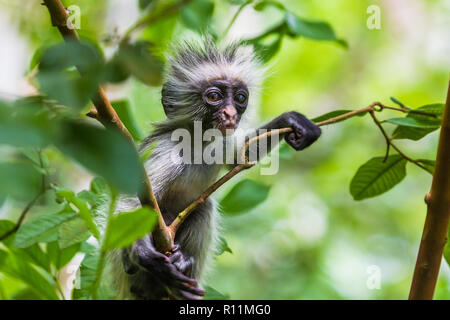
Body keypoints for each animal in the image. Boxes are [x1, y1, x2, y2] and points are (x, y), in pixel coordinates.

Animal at [107, 38, 322, 300]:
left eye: (240, 97)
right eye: (214, 96)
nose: (230, 113)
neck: (197, 142)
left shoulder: (220, 141)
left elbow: (242, 155)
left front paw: (291, 121)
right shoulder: (166, 152)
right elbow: (130, 200)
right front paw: (140, 251)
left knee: (203, 208)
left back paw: (180, 270)